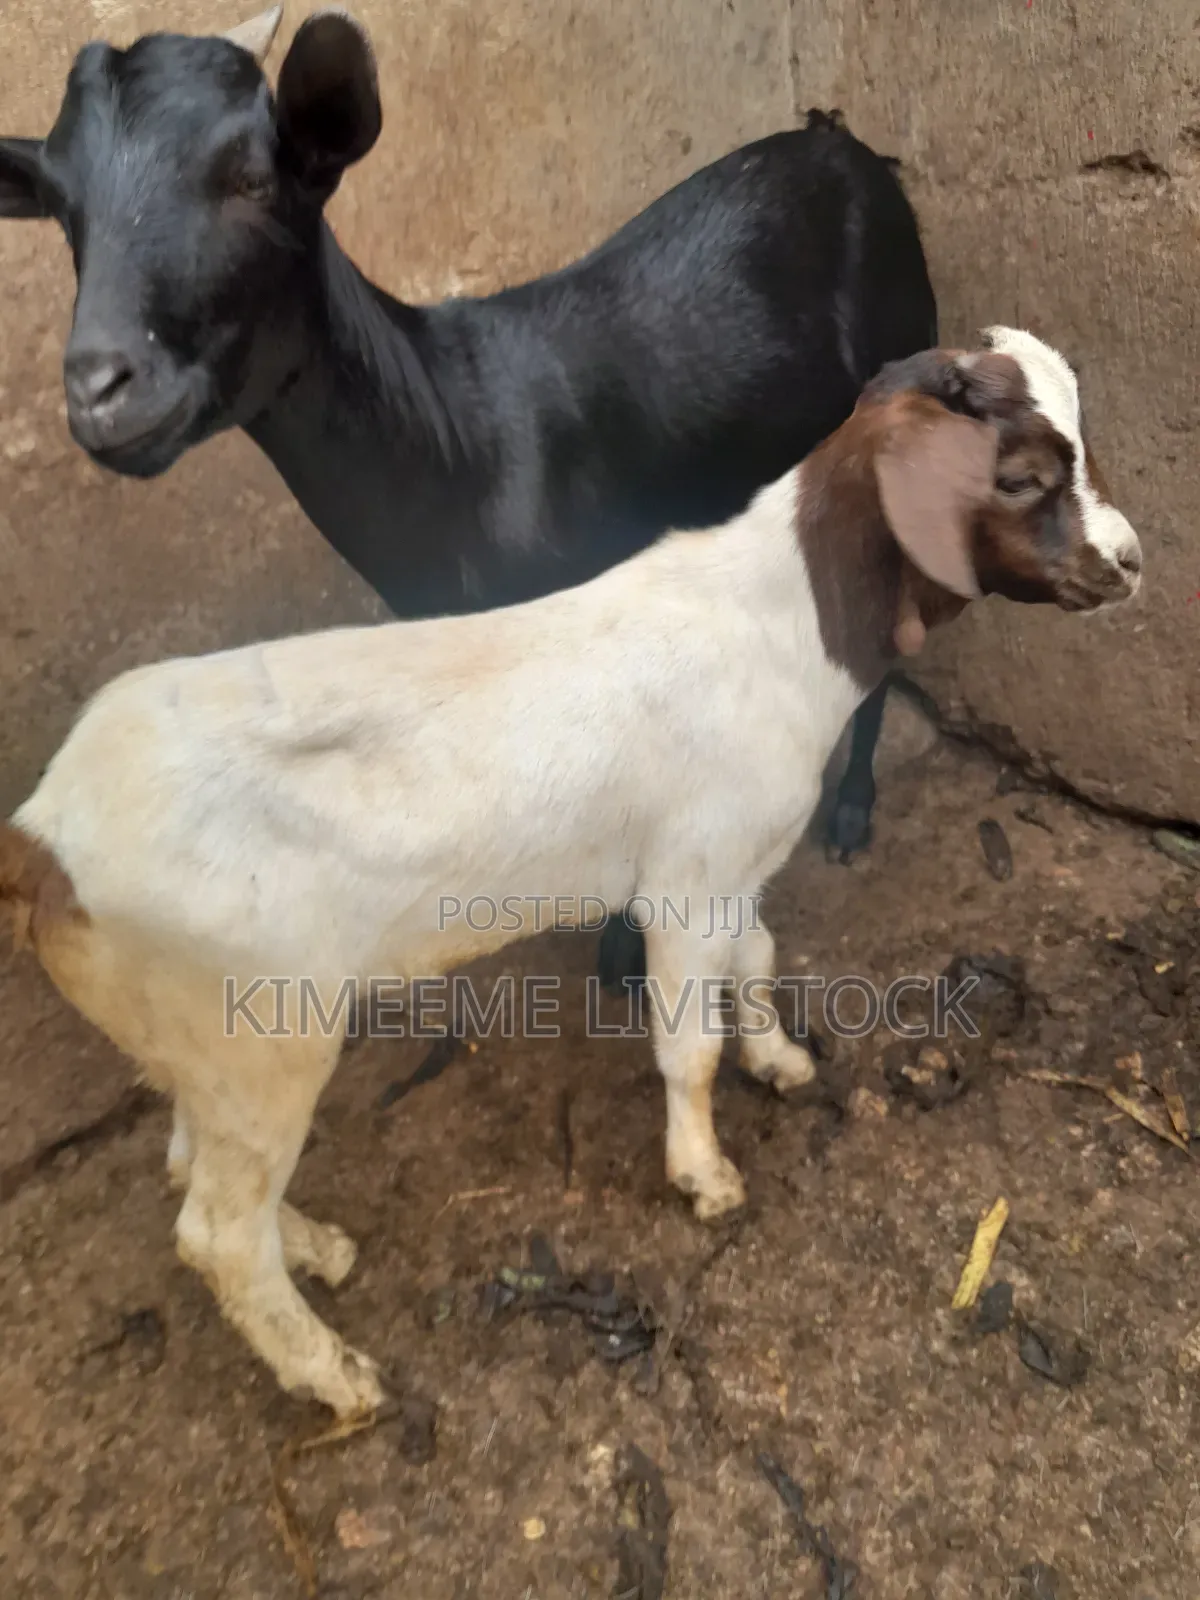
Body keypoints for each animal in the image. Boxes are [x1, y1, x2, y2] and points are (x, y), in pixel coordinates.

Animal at [0, 5, 939, 995]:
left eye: (253, 179)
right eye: (63, 207)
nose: (100, 389)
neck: (457, 449)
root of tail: (848, 147)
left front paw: (621, 952)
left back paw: (852, 812)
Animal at [0, 329, 1142, 1416]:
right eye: (1022, 476)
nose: (1130, 562)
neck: (780, 617)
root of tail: (44, 836)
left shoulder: (737, 859)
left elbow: (758, 955)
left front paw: (779, 1058)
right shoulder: (685, 876)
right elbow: (688, 1044)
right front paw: (704, 1176)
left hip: (192, 1031)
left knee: (190, 1165)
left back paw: (315, 1250)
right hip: (261, 1030)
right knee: (216, 1230)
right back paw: (335, 1376)